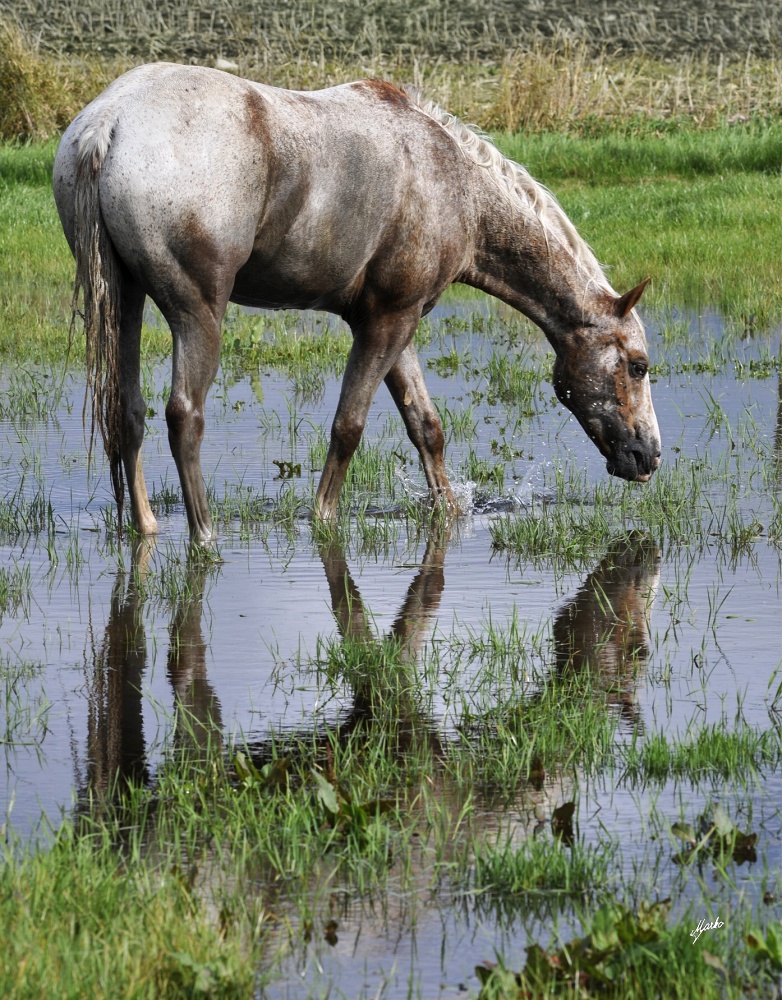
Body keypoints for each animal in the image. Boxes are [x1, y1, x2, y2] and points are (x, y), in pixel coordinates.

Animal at [53, 62, 660, 540]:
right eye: (637, 365)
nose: (648, 456)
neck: (454, 183)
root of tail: (110, 122)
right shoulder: (387, 321)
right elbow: (349, 426)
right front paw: (323, 519)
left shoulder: (395, 322)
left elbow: (426, 427)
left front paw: (451, 513)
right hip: (197, 312)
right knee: (185, 416)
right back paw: (204, 536)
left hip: (126, 301)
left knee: (128, 412)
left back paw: (148, 526)